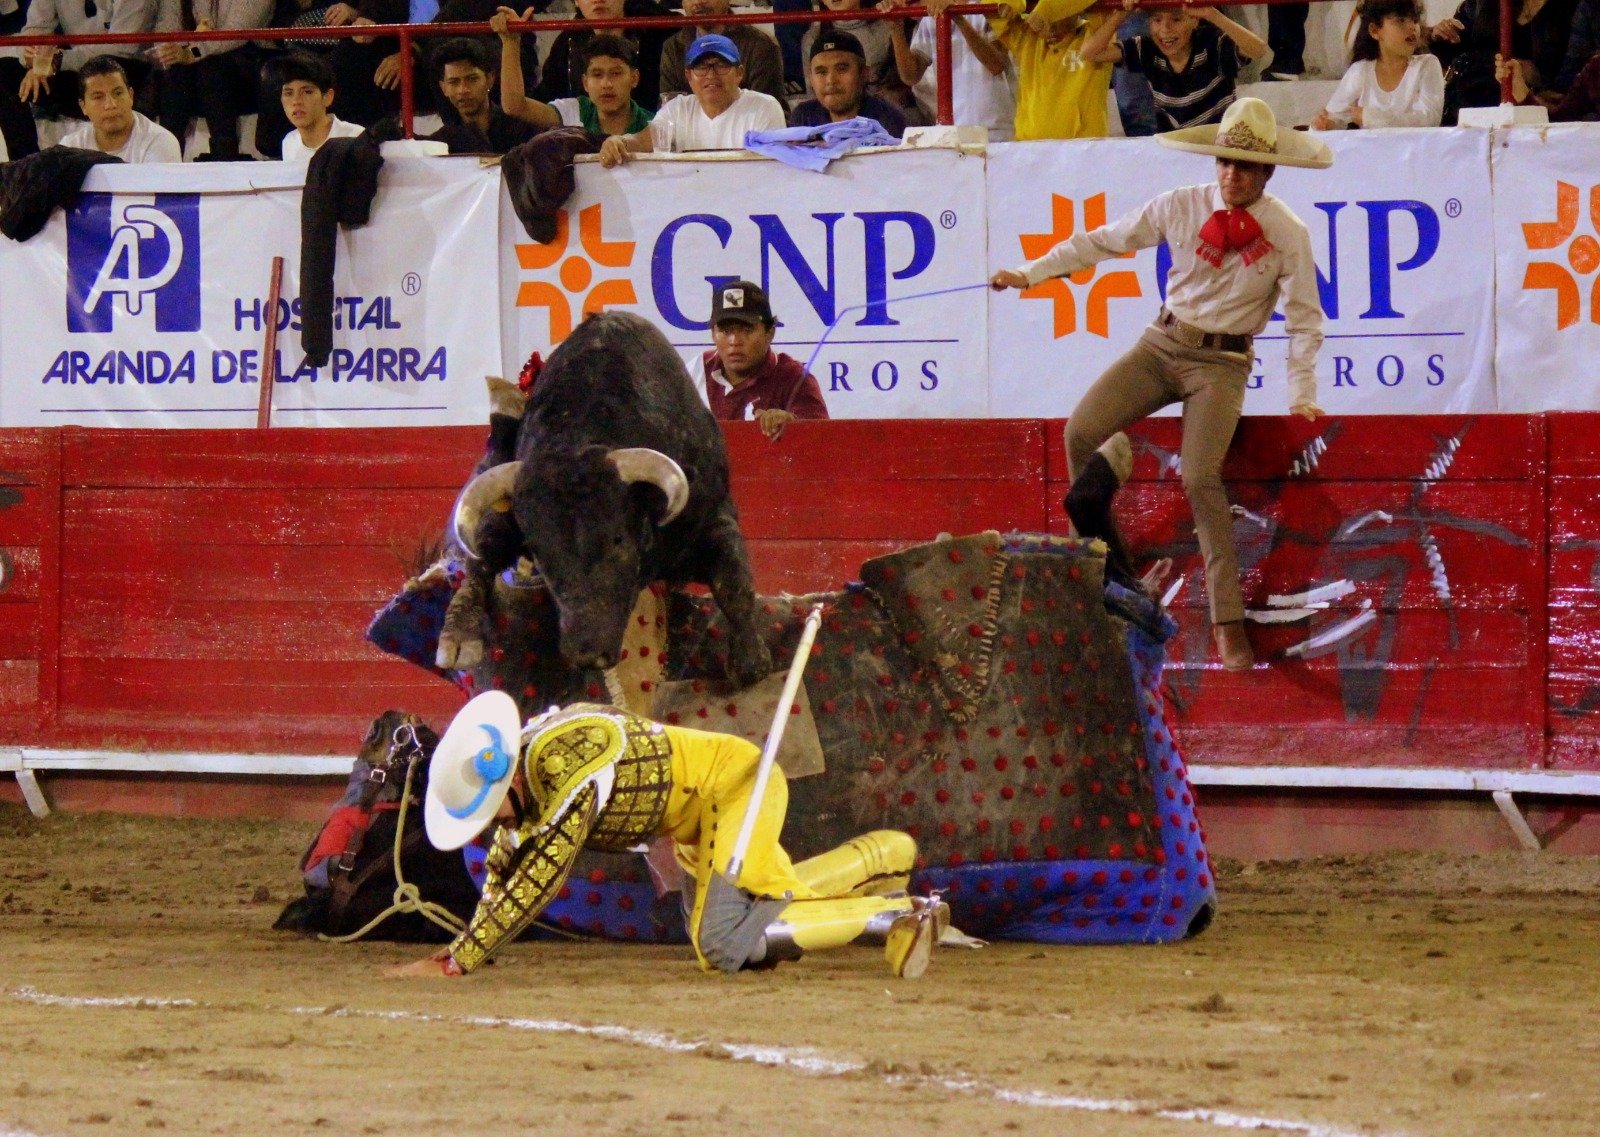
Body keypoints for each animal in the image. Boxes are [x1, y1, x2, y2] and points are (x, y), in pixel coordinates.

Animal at [435, 312, 772, 689]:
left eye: (618, 539)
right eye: (538, 551)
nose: (587, 652)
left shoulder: (713, 515)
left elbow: (733, 583)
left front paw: (751, 662)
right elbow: (478, 563)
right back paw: (457, 637)